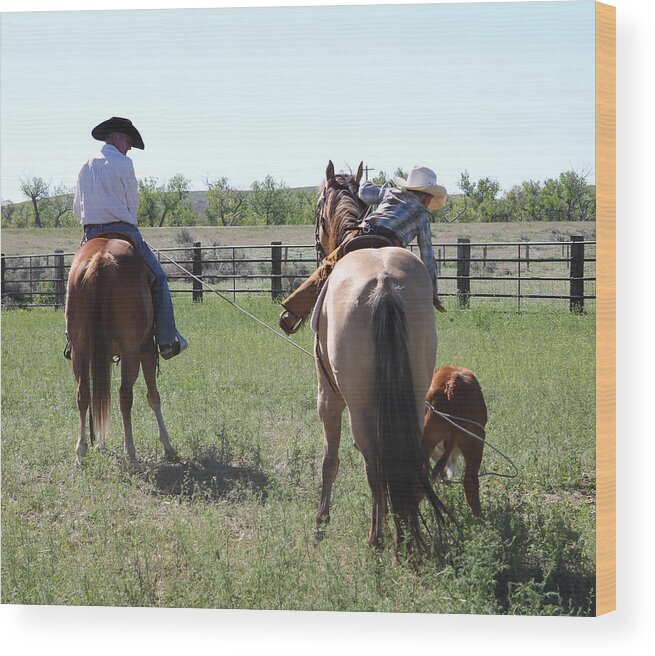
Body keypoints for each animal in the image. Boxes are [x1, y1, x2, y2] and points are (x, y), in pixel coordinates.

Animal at [66, 238, 177, 468]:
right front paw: (167, 444)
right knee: (125, 395)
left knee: (84, 393)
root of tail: (102, 257)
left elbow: (101, 393)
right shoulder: (147, 349)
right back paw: (131, 452)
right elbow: (153, 395)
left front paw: (99, 443)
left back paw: (81, 451)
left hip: (80, 348)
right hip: (131, 350)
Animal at [312, 163, 446, 552]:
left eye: (317, 208)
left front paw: (321, 520)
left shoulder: (327, 396)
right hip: (414, 393)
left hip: (358, 403)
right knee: (404, 452)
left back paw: (376, 537)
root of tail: (384, 285)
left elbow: (330, 457)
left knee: (372, 459)